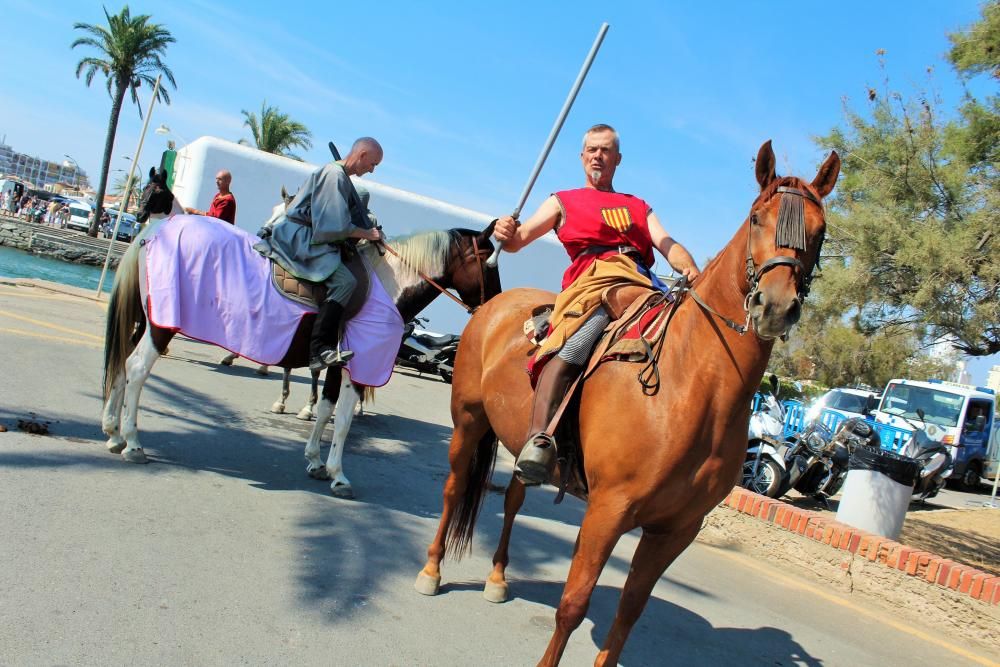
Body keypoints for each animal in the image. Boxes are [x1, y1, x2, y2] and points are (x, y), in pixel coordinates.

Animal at [101, 170, 500, 498]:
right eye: (488, 262)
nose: (494, 303)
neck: (388, 284)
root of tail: (154, 233)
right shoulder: (360, 365)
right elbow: (342, 419)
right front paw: (338, 474)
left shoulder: (337, 361)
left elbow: (325, 409)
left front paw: (315, 461)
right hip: (161, 325)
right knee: (137, 369)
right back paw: (132, 442)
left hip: (147, 320)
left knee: (122, 363)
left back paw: (114, 432)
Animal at [412, 140, 836, 664]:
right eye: (757, 217)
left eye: (820, 231)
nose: (774, 305)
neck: (694, 388)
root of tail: (490, 307)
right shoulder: (609, 510)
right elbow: (573, 604)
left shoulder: (675, 529)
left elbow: (629, 613)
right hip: (468, 422)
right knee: (453, 490)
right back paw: (431, 571)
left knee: (513, 497)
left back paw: (497, 576)